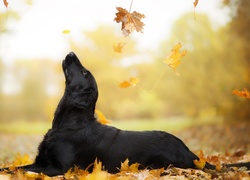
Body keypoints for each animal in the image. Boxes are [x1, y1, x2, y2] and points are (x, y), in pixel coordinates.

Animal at [0, 52, 249, 177]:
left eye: (84, 72)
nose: (71, 52)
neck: (68, 124)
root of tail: (189, 152)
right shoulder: (41, 160)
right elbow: (13, 167)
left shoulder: (58, 168)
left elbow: (28, 170)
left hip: (157, 164)